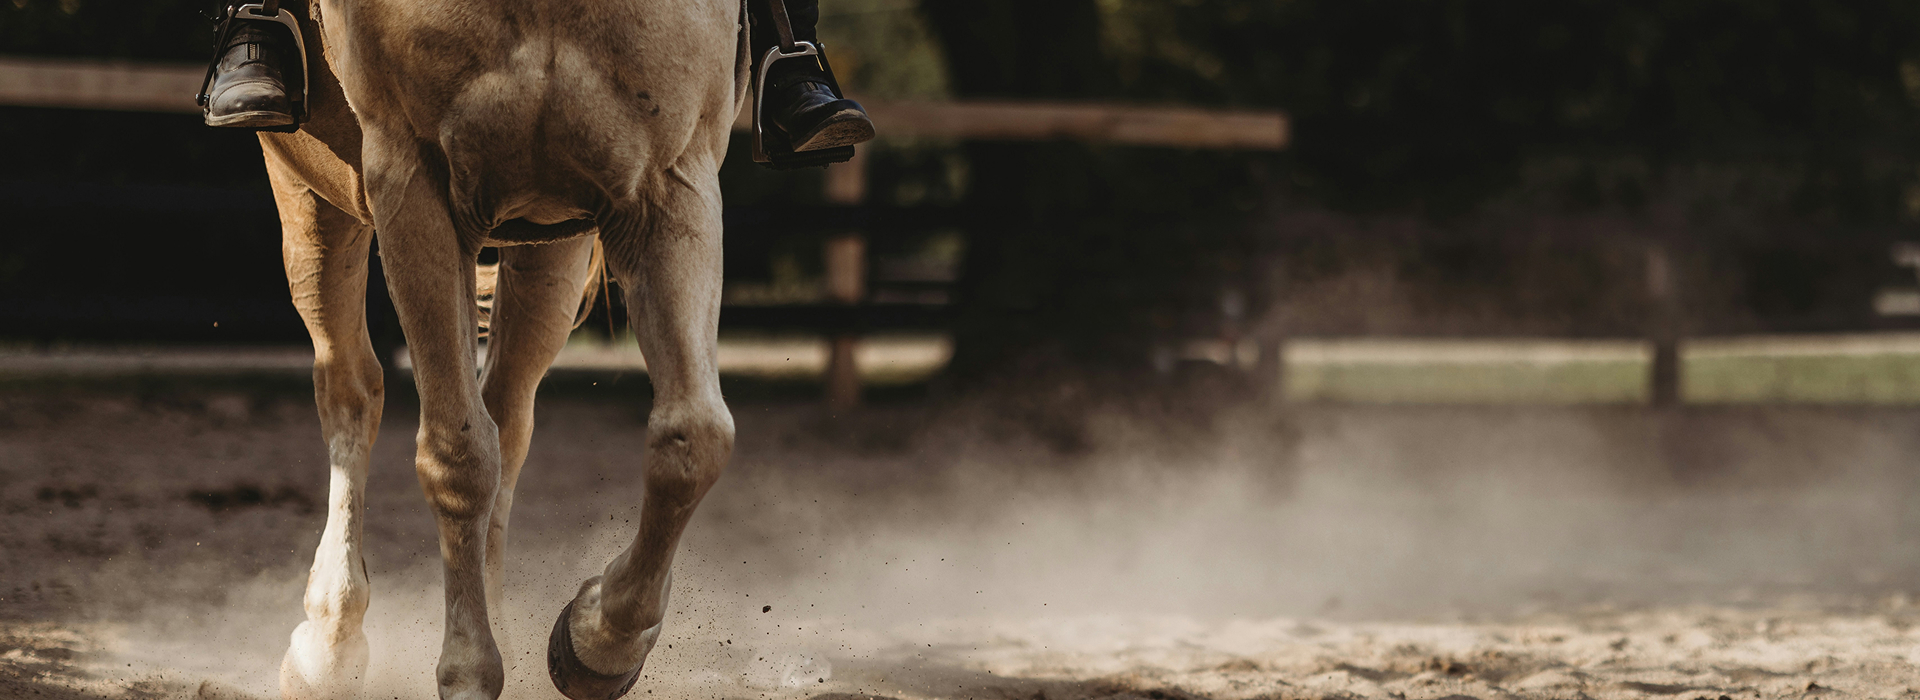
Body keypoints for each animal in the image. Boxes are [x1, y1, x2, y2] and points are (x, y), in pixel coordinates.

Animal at [253, 1, 745, 698]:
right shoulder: (412, 187)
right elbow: (456, 456)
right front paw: (467, 667)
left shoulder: (670, 181)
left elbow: (693, 440)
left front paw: (598, 642)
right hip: (310, 191)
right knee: (350, 389)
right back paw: (329, 642)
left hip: (553, 244)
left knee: (506, 418)